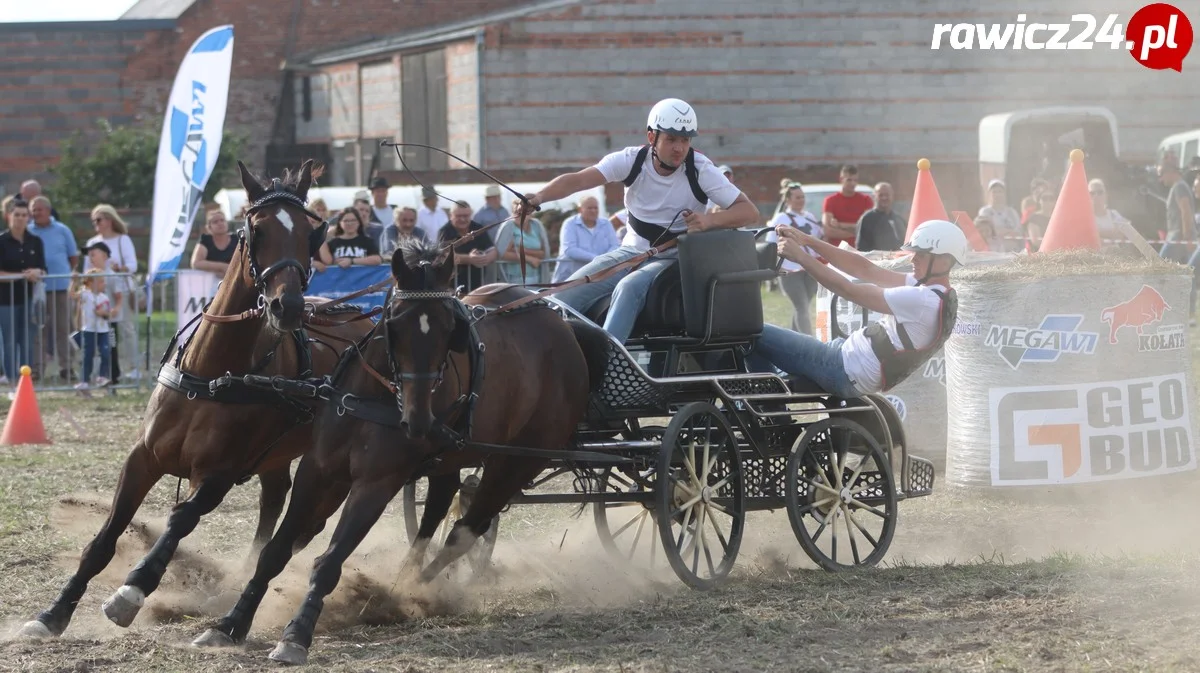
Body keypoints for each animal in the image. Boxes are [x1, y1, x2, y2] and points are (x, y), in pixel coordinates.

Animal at [17, 159, 374, 638]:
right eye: (256, 229)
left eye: (309, 233)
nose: (290, 307)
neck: (210, 372)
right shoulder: (142, 458)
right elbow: (107, 535)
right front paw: (54, 613)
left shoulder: (220, 473)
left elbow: (181, 518)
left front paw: (132, 590)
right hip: (276, 454)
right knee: (273, 499)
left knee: (303, 522)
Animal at [193, 236, 604, 662]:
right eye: (394, 323)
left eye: (448, 328)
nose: (418, 420)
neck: (371, 396)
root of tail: (567, 329)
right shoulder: (318, 469)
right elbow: (274, 551)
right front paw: (229, 624)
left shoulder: (377, 482)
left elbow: (330, 561)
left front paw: (296, 634)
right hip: (450, 457)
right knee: (439, 509)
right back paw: (402, 583)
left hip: (516, 462)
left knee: (466, 530)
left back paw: (407, 593)